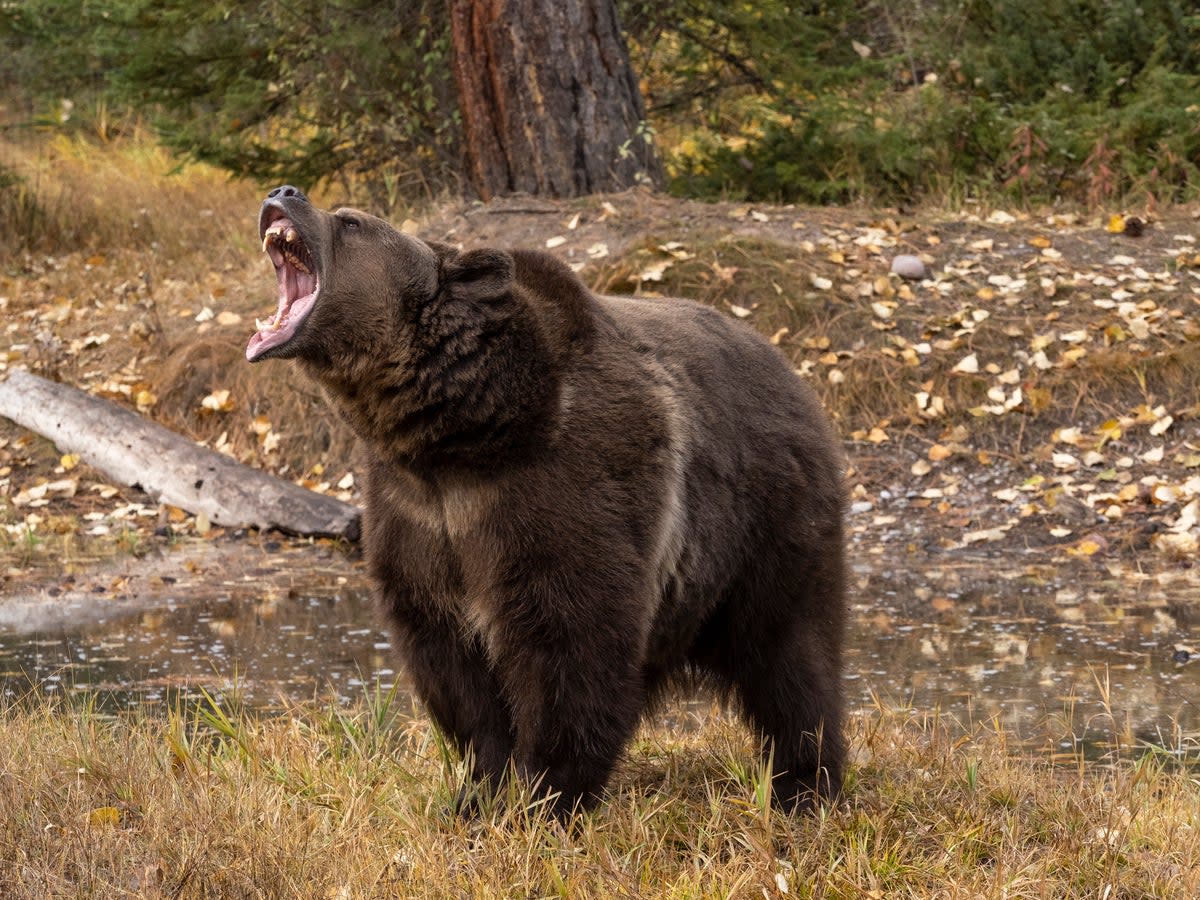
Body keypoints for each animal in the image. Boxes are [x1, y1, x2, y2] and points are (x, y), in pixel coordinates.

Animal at [246, 184, 844, 816]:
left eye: (352, 222)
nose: (284, 192)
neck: (460, 436)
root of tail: (791, 370)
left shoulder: (560, 490)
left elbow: (569, 644)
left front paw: (548, 796)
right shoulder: (418, 516)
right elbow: (451, 662)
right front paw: (478, 792)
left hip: (768, 523)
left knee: (791, 656)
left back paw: (806, 784)